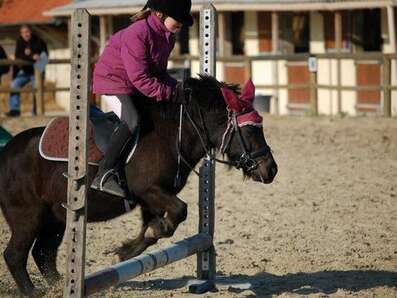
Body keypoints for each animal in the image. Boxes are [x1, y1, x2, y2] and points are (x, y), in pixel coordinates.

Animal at [0, 75, 276, 296]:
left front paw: (127, 249)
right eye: (250, 131)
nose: (271, 170)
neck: (173, 134)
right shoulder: (148, 190)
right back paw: (33, 292)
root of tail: (7, 152)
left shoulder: (152, 198)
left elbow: (155, 228)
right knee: (15, 255)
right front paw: (149, 235)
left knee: (43, 253)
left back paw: (58, 286)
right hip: (27, 217)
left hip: (55, 218)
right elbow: (179, 212)